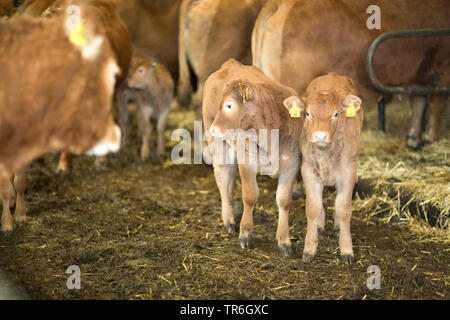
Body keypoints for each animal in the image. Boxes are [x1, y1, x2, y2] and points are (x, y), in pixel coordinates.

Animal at [203, 58, 302, 256]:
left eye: (229, 105)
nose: (213, 129)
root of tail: (231, 64)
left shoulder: (292, 165)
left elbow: (284, 201)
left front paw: (284, 241)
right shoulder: (247, 159)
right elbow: (250, 196)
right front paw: (245, 234)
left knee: (230, 178)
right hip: (217, 143)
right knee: (222, 176)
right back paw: (228, 219)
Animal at [253, 0, 450, 149]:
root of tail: (284, 4)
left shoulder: (419, 75)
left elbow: (418, 103)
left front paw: (414, 139)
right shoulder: (441, 70)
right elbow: (436, 104)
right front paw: (431, 139)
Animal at [284, 74, 364, 264]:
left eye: (336, 113)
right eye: (307, 113)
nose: (320, 136)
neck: (326, 153)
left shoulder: (349, 172)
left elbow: (344, 209)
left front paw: (346, 249)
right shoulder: (308, 170)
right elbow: (312, 207)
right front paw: (309, 248)